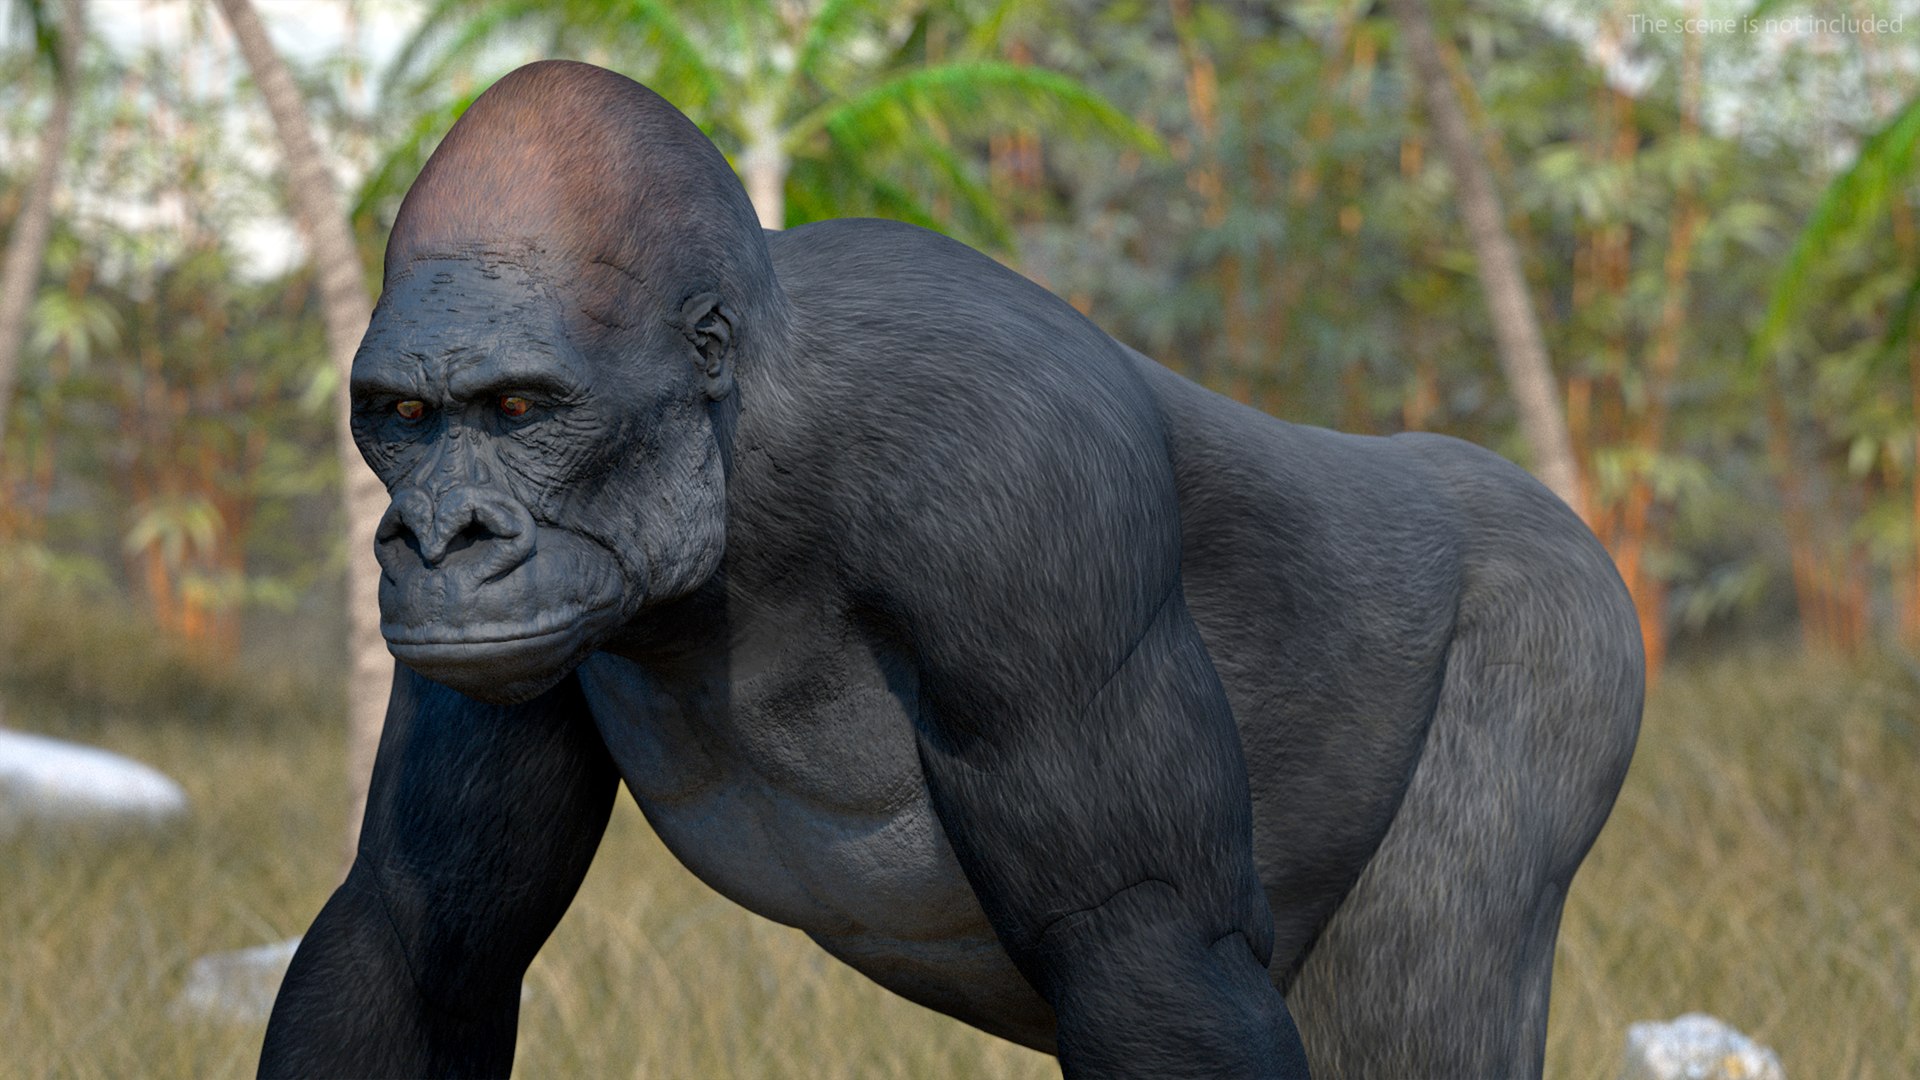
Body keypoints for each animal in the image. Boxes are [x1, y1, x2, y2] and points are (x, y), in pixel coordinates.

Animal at [259, 59, 1642, 1080]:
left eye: (520, 406)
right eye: (400, 417)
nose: (439, 537)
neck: (747, 433)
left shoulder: (1020, 483)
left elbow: (1149, 953)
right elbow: (417, 939)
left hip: (1561, 609)